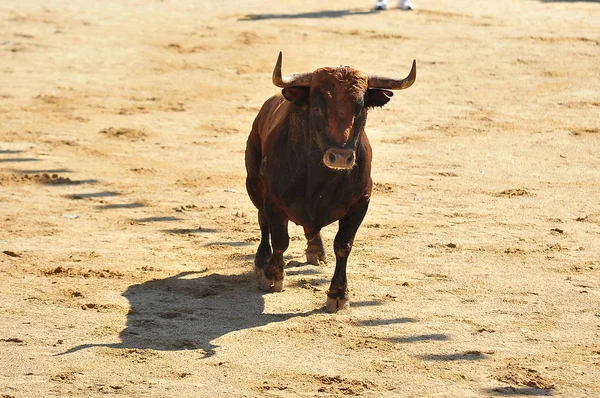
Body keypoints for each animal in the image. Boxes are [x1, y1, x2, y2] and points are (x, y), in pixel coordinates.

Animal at [246, 52, 414, 310]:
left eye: (361, 108)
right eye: (317, 107)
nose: (341, 157)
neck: (318, 178)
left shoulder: (360, 204)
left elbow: (343, 245)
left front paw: (338, 294)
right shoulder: (273, 201)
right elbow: (280, 240)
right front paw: (273, 276)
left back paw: (316, 249)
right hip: (254, 184)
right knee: (263, 222)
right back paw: (261, 260)